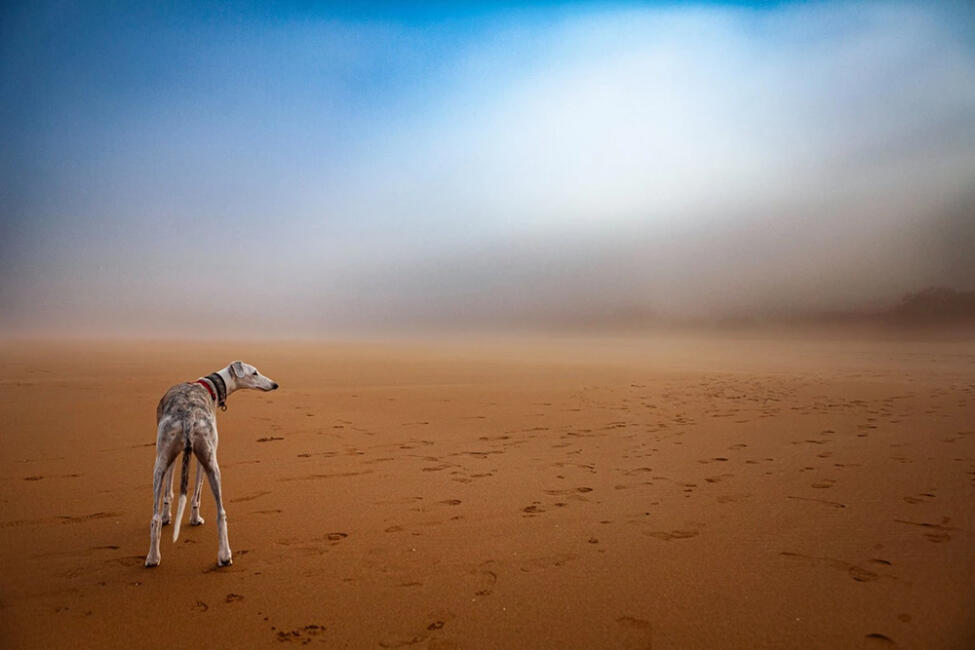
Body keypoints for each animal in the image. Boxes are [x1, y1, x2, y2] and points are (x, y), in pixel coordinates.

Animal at [147, 360, 280, 568]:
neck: (208, 386)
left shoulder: (174, 458)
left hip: (164, 463)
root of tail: (188, 417)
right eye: (254, 372)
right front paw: (189, 518)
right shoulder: (198, 460)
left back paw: (154, 557)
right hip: (208, 463)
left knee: (155, 517)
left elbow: (173, 493)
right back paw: (224, 555)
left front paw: (171, 516)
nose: (275, 385)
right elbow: (190, 494)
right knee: (220, 513)